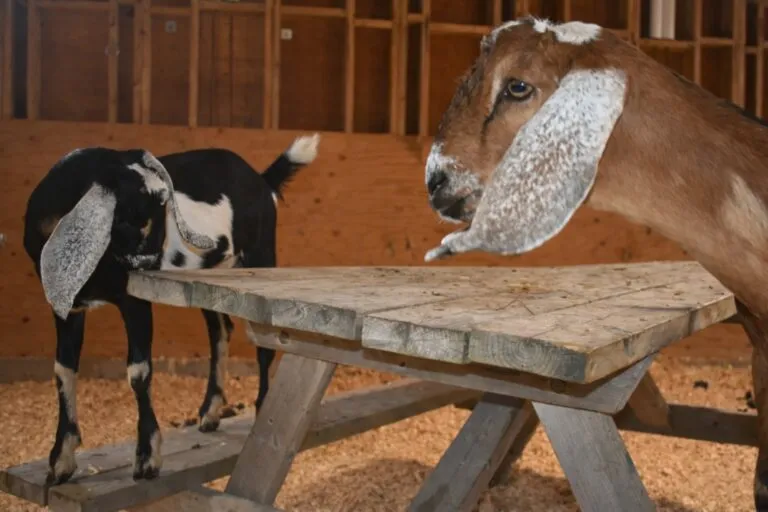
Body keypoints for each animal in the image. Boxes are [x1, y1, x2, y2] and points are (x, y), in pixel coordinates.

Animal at [22, 133, 320, 484]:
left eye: (158, 211)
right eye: (125, 217)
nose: (150, 265)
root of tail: (261, 179)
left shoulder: (134, 301)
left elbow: (138, 372)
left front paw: (147, 457)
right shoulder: (68, 310)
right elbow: (63, 371)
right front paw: (61, 460)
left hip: (260, 257)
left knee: (262, 345)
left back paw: (261, 407)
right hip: (212, 278)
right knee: (220, 330)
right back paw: (210, 412)